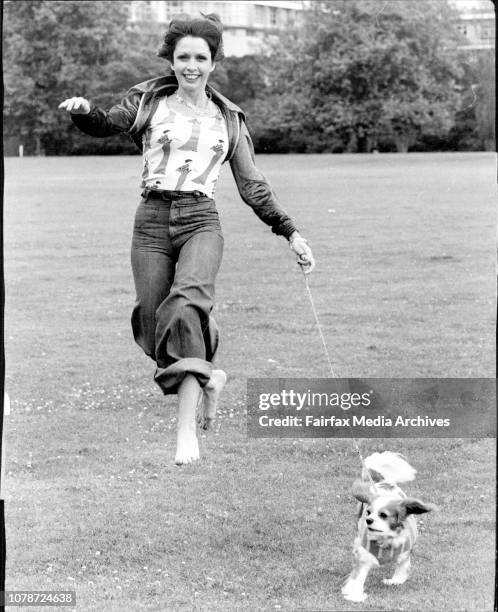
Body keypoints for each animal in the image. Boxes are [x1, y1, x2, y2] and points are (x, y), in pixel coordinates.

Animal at [340, 450, 434, 604]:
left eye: (383, 515)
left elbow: (402, 569)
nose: (368, 520)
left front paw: (394, 581)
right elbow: (358, 577)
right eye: (368, 512)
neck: (386, 540)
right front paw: (355, 595)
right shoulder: (364, 556)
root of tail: (383, 482)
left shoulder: (405, 553)